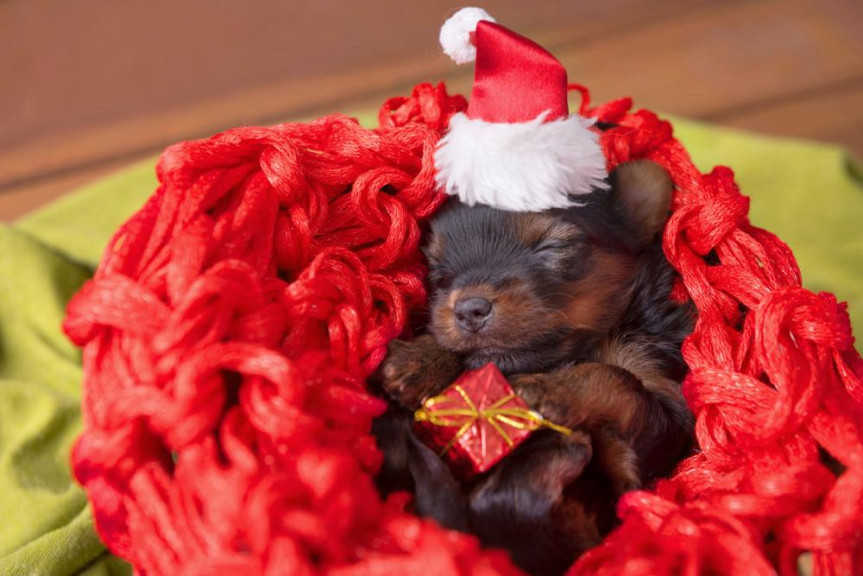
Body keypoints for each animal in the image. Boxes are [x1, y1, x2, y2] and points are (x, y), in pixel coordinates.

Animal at [372, 159, 695, 576]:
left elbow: (616, 378)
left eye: (553, 246)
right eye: (437, 270)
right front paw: (420, 359)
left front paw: (549, 390)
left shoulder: (666, 419)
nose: (469, 308)